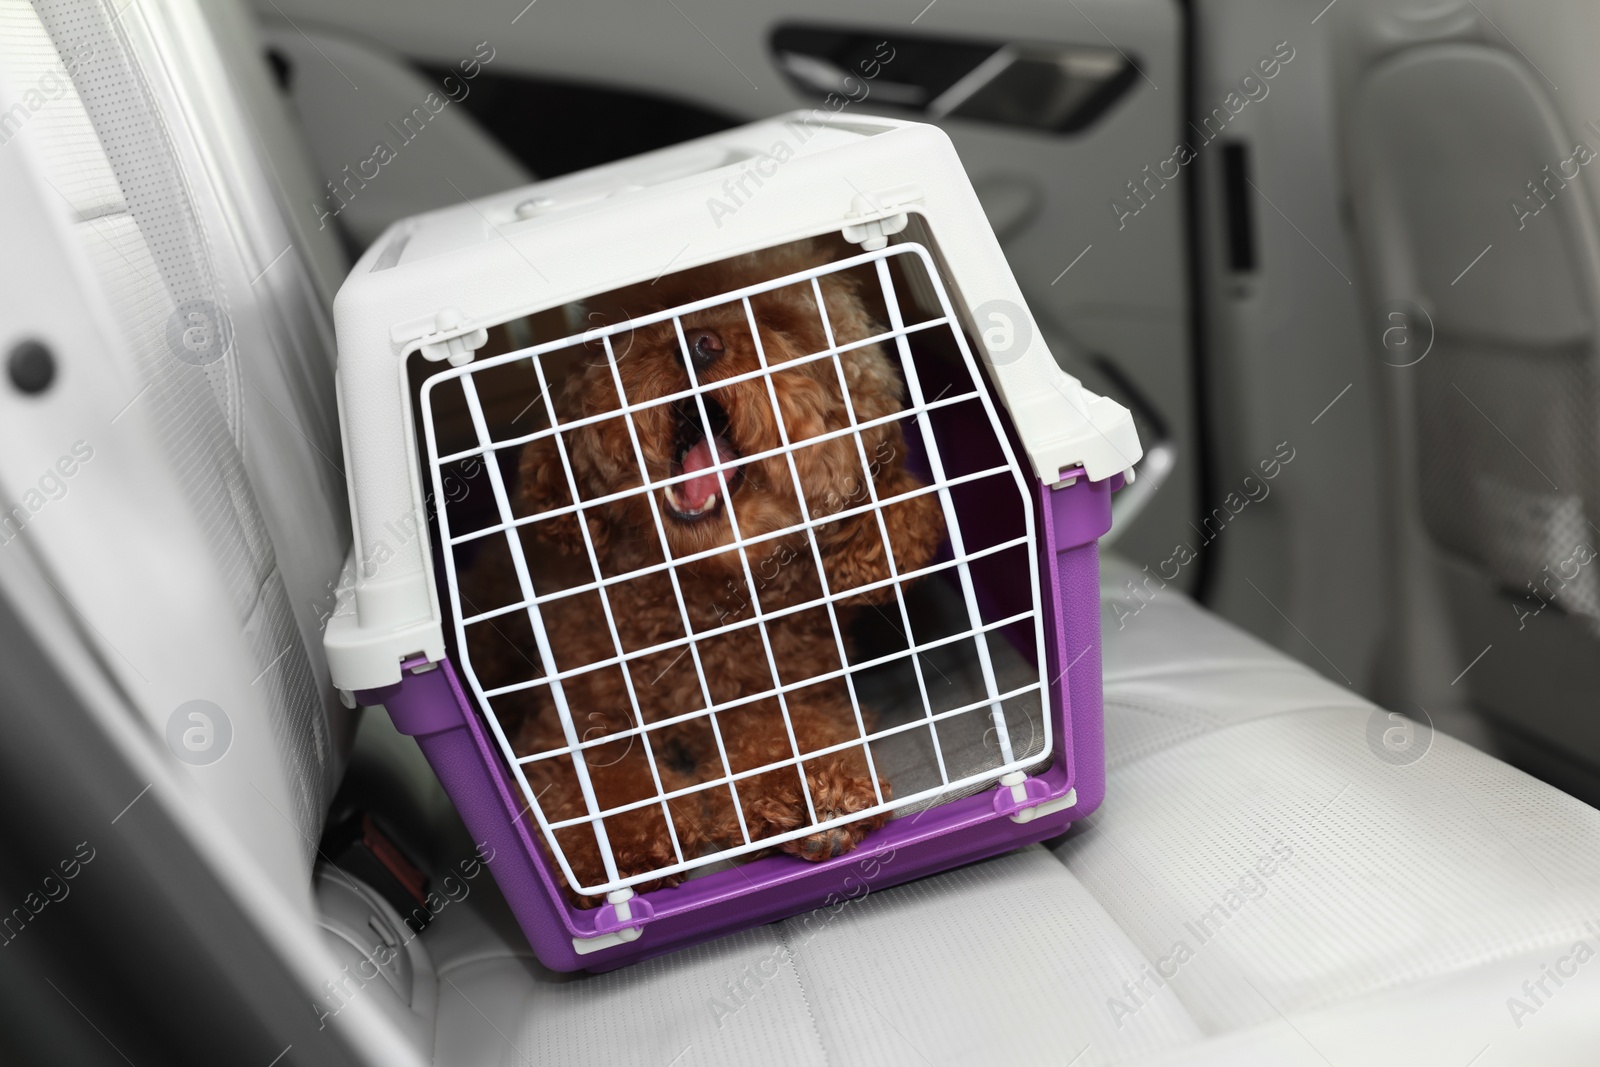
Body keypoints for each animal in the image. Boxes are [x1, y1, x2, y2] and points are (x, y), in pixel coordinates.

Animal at [457, 238, 940, 908]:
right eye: (653, 312)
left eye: (781, 324)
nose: (698, 342)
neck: (696, 604)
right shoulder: (575, 721)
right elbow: (603, 784)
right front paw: (622, 849)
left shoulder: (787, 693)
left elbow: (793, 736)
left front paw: (812, 800)